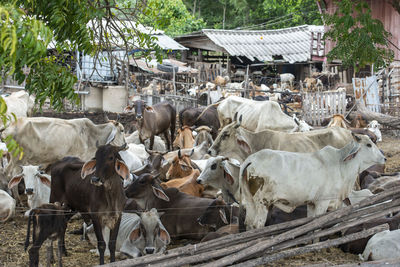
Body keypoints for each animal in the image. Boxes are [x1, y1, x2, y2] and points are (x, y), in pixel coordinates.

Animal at [239, 135, 386, 229]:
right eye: (368, 144)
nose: (384, 158)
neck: (341, 165)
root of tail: (252, 159)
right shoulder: (323, 202)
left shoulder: (311, 203)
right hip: (263, 203)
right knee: (257, 225)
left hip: (250, 201)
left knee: (248, 224)